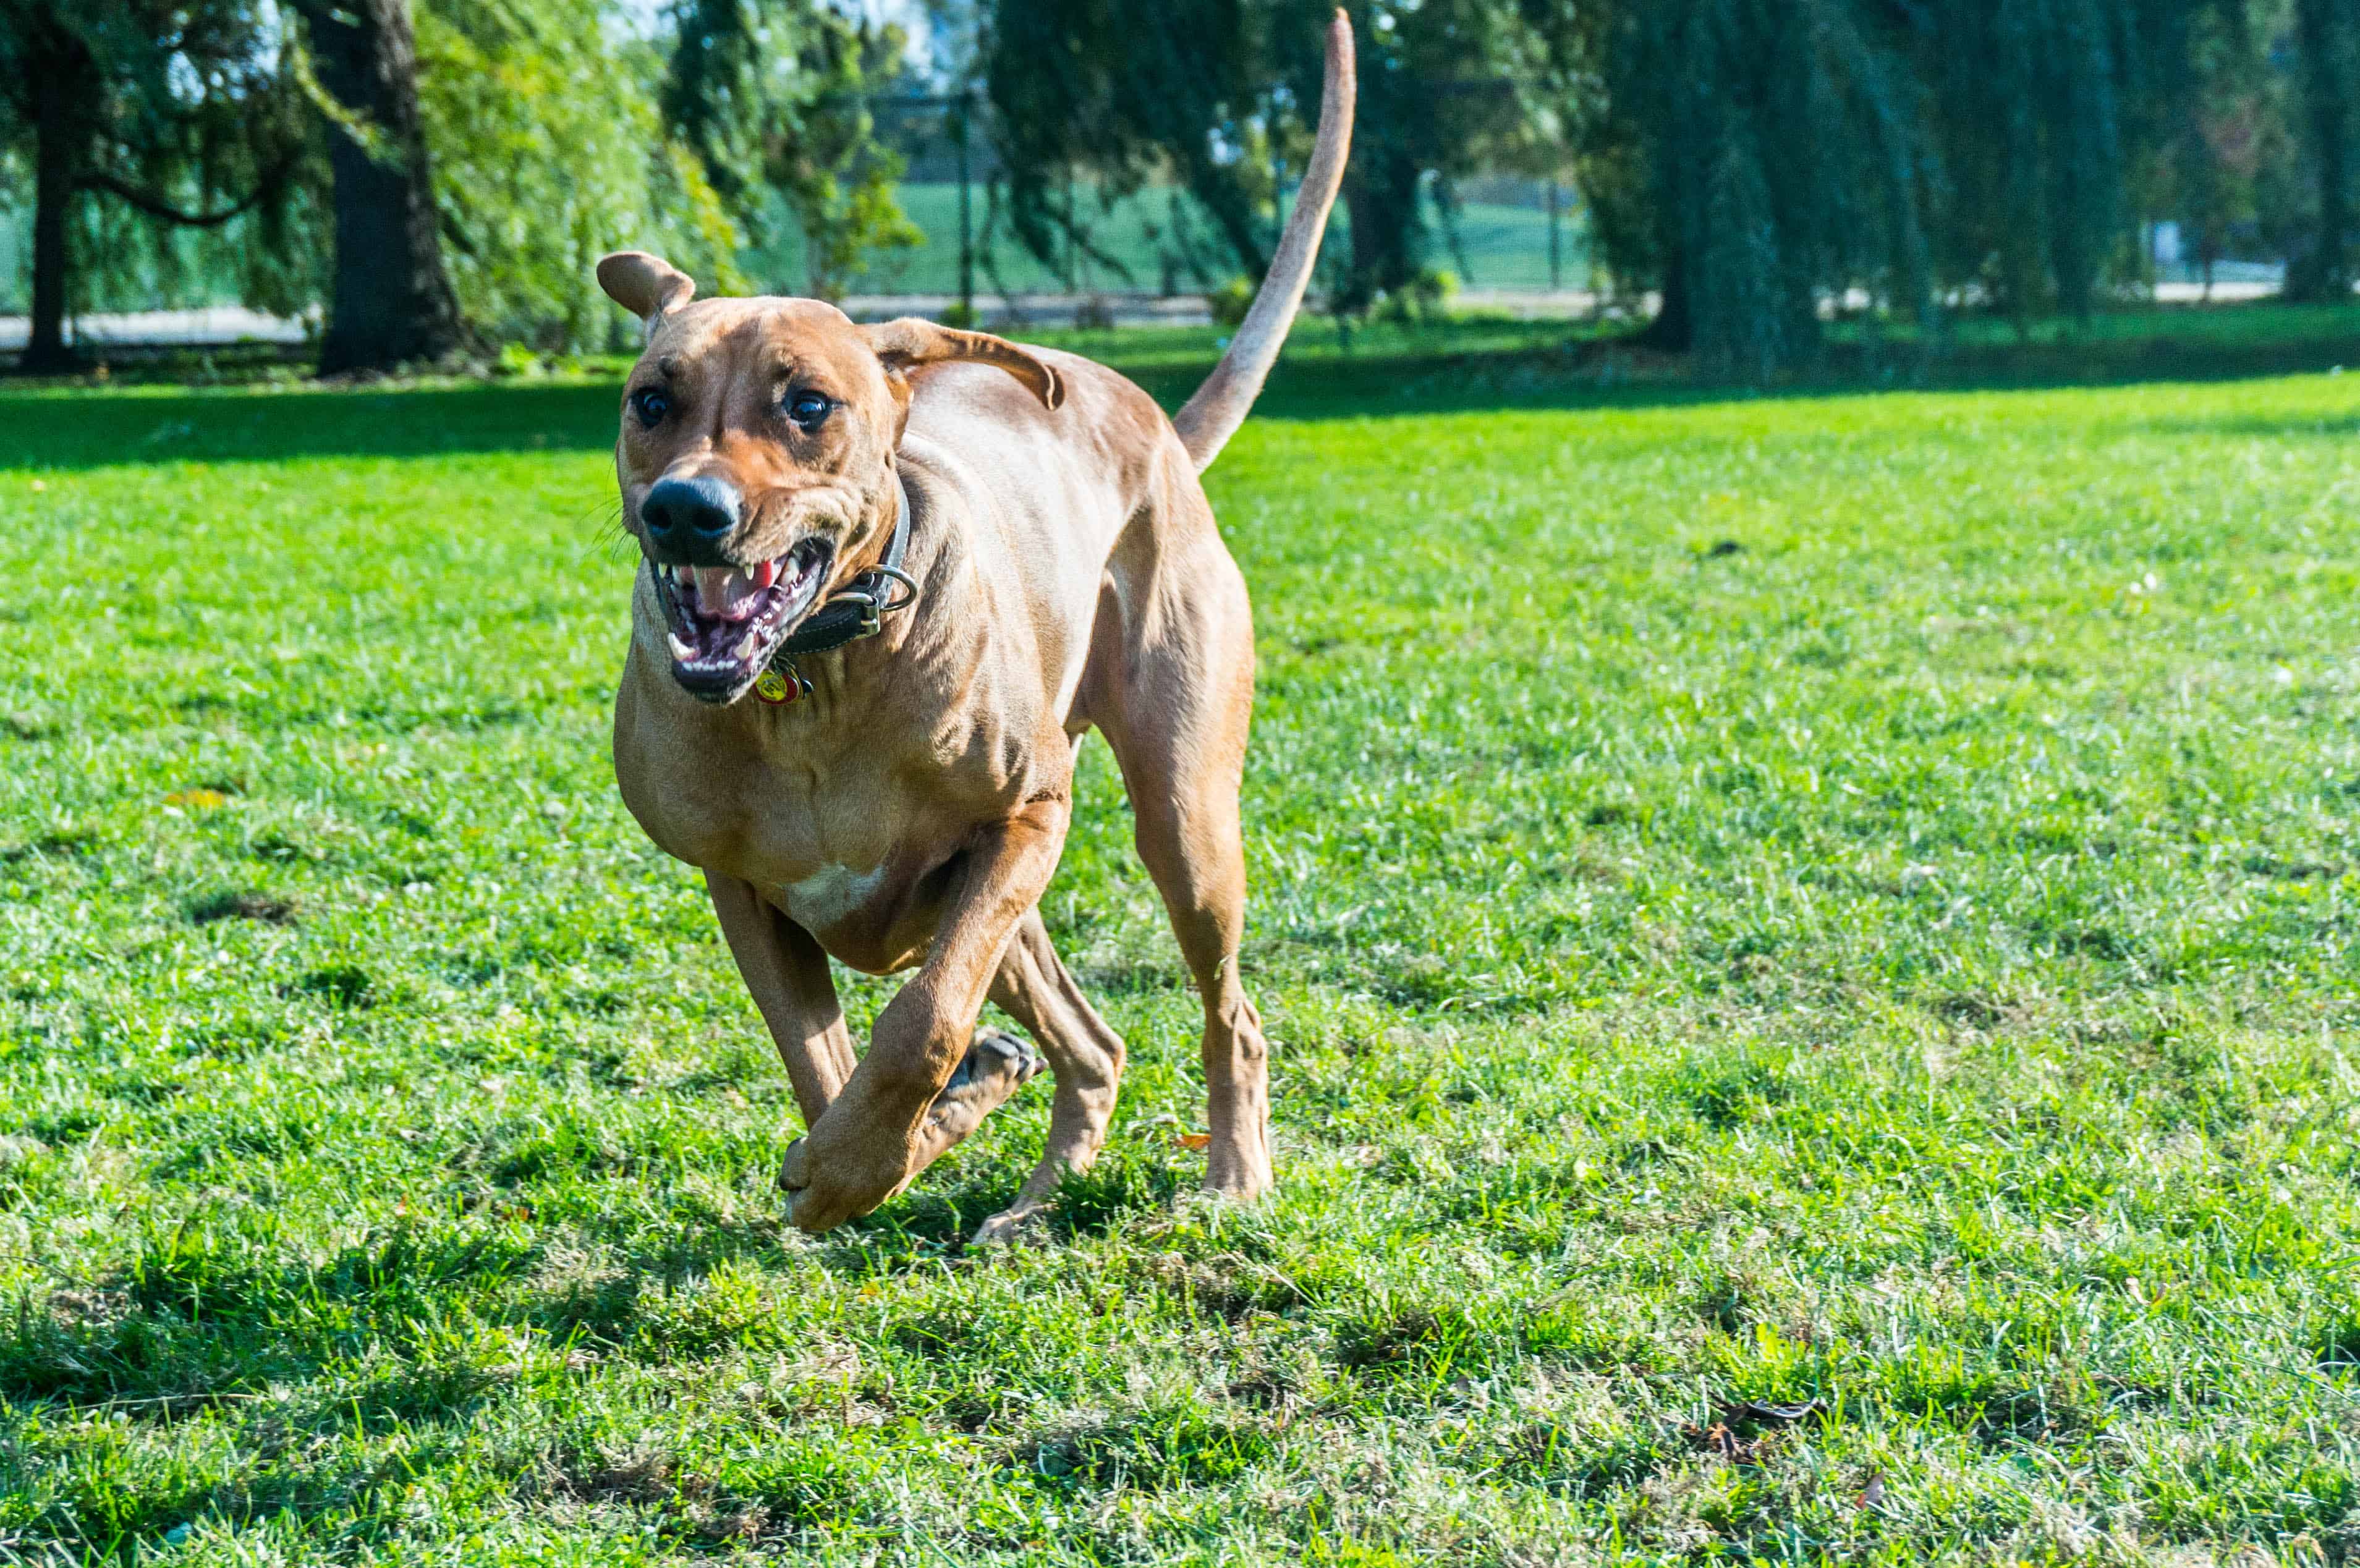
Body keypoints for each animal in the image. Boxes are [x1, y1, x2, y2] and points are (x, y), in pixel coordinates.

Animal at [599, 12, 1359, 1237]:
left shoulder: (1027, 814)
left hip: (1180, 816)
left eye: (807, 405)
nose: (685, 509)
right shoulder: (742, 888)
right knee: (1091, 1045)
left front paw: (875, 1149)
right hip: (989, 898)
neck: (811, 685)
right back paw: (1033, 1194)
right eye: (649, 402)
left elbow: (920, 1026)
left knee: (1223, 1011)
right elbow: (821, 1065)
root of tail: (1152, 419)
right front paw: (866, 1160)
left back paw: (1231, 1176)